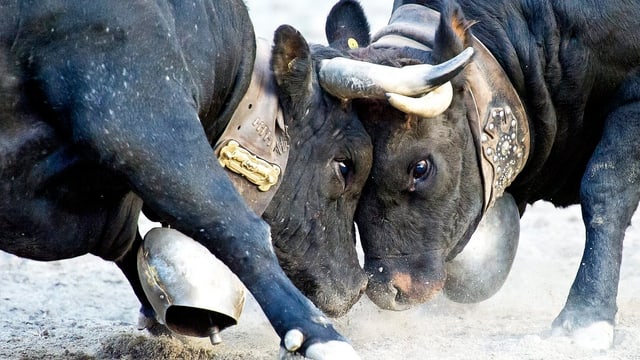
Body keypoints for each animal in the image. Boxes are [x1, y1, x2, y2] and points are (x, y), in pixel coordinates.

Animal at [0, 0, 376, 356]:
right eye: (345, 166)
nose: (358, 285)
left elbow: (131, 244)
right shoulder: (138, 115)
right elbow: (233, 224)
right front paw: (320, 337)